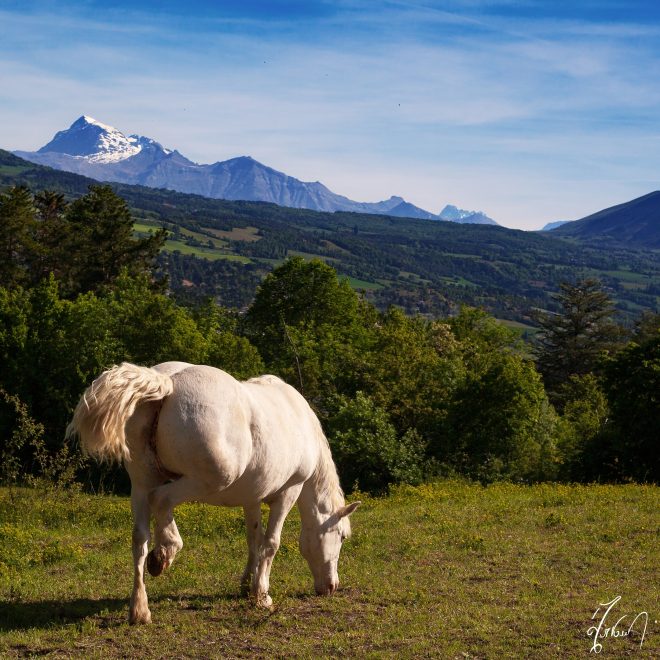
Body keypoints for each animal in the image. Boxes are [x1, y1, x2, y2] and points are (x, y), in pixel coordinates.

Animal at [67, 361, 360, 624]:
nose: (331, 586)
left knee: (140, 538)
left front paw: (246, 584)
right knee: (161, 501)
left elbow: (254, 539)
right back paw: (166, 551)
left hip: (141, 482)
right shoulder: (289, 491)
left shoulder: (251, 498)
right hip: (202, 481)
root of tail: (167, 383)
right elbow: (271, 543)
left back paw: (140, 610)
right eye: (342, 537)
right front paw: (261, 595)